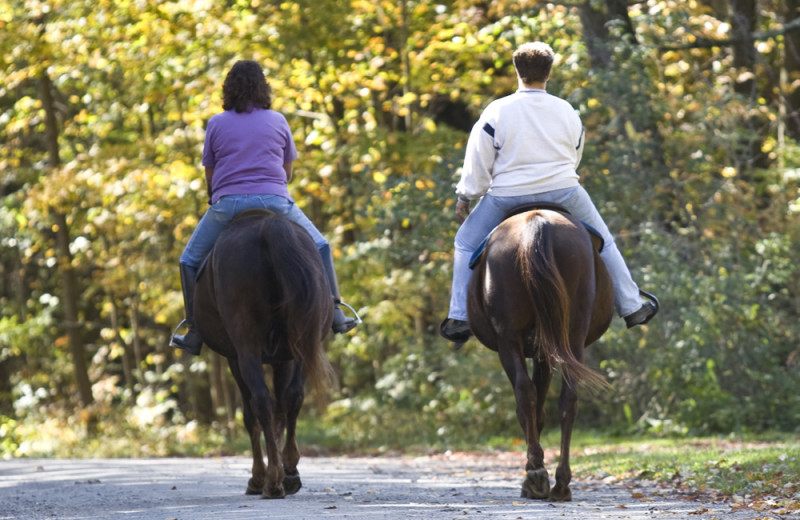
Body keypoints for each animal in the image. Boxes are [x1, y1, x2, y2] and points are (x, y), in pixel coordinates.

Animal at [194, 208, 334, 500]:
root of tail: (270, 228)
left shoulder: (235, 358)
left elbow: (252, 416)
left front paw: (259, 477)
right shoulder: (284, 358)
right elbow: (282, 408)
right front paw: (285, 470)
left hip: (246, 349)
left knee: (260, 402)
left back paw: (269, 483)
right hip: (301, 347)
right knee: (293, 397)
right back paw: (287, 471)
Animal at [466, 207, 616, 500]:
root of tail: (537, 222)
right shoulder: (545, 351)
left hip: (508, 339)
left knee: (525, 392)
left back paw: (536, 475)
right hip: (572, 336)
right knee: (568, 398)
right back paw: (561, 482)